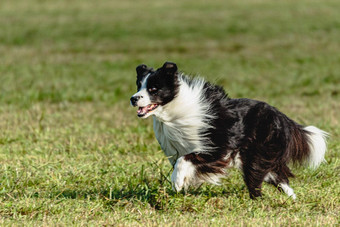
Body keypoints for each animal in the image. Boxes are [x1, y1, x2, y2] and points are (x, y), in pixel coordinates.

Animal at [129, 61, 326, 199]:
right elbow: (183, 161)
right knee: (278, 177)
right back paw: (292, 199)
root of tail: (281, 116)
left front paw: (177, 183)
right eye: (139, 86)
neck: (173, 109)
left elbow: (185, 160)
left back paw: (258, 200)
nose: (133, 98)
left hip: (256, 153)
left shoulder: (217, 147)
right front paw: (183, 184)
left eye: (153, 89)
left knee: (257, 179)